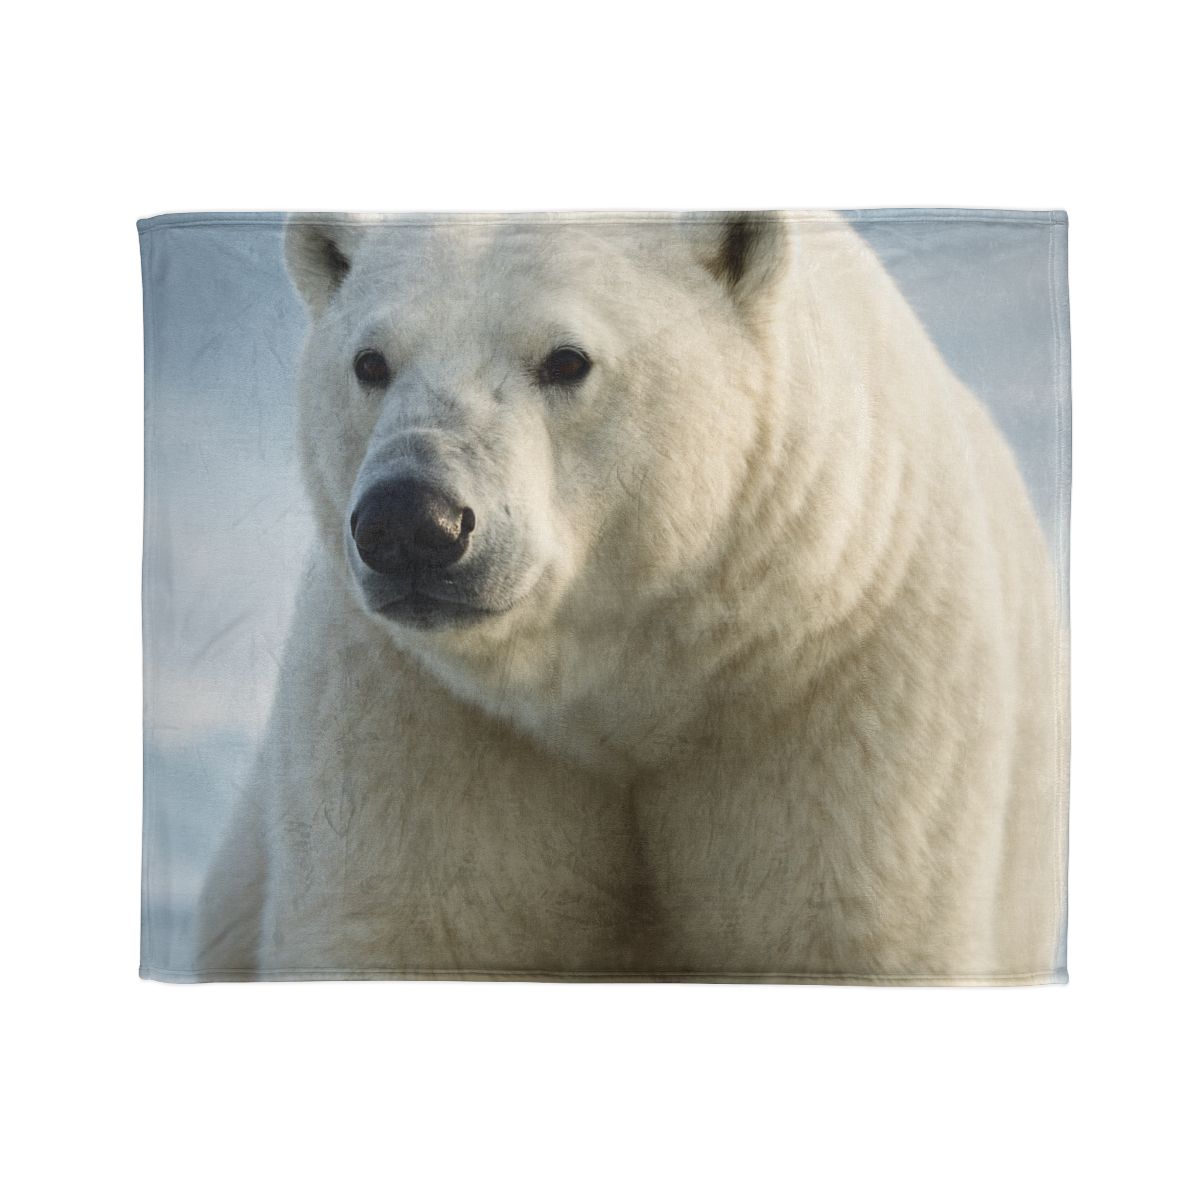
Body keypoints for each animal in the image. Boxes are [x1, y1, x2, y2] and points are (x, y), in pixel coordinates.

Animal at [193, 211, 1066, 983]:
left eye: (566, 359)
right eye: (370, 361)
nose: (411, 522)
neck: (630, 690)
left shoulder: (841, 686)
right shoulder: (420, 715)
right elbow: (413, 924)